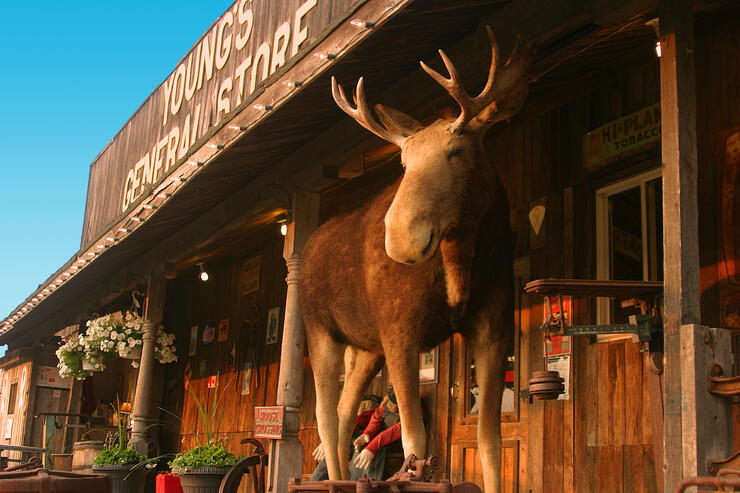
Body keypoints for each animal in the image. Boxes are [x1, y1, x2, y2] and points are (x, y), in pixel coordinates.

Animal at [298, 27, 531, 493]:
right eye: (404, 161)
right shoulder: (400, 330)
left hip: (365, 347)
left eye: (457, 151)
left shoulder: (494, 327)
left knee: (344, 412)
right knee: (324, 414)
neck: (460, 260)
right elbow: (414, 444)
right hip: (321, 331)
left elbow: (490, 442)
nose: (401, 239)